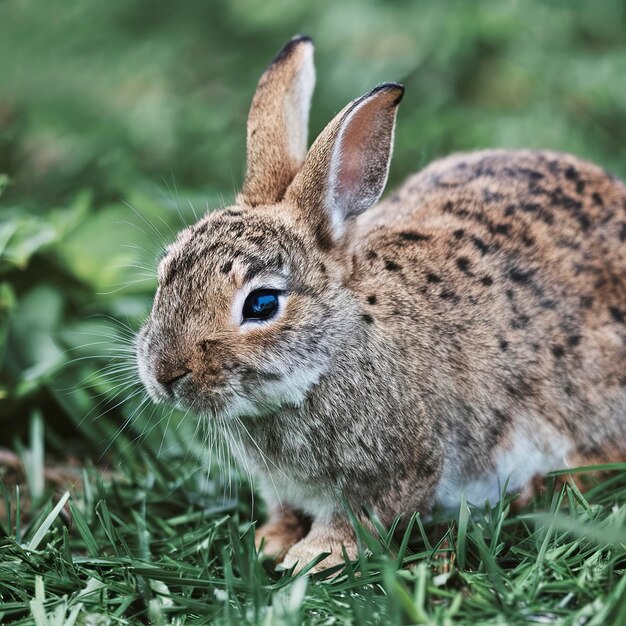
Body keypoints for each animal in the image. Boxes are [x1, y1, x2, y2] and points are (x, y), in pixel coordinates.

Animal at [135, 35, 624, 572]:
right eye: (165, 274)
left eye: (261, 304)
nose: (165, 375)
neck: (329, 357)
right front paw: (269, 541)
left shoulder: (399, 469)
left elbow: (356, 519)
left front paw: (313, 557)